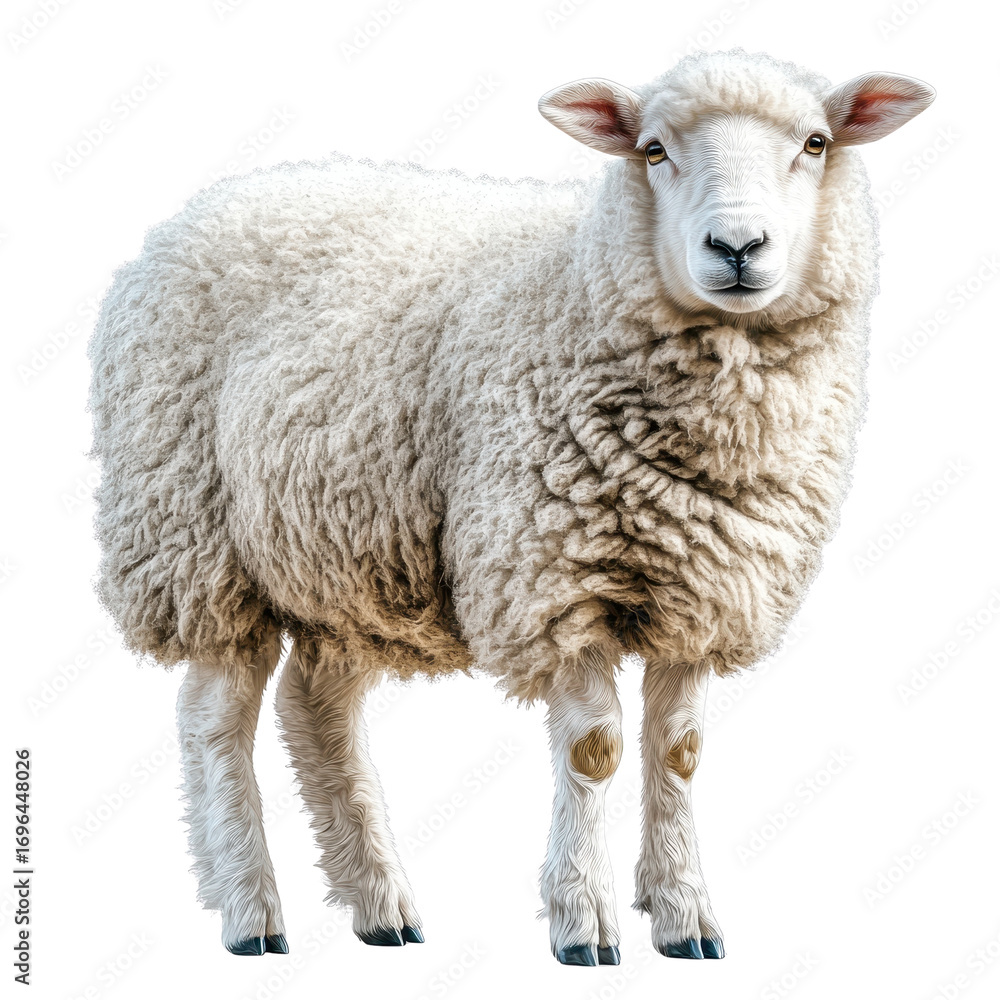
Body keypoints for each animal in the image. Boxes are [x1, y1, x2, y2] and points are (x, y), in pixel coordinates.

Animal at [87, 48, 935, 966]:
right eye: (653, 149)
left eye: (815, 143)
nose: (737, 246)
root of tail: (207, 205)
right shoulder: (554, 576)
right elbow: (596, 749)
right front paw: (585, 923)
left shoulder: (699, 587)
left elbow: (680, 753)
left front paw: (684, 917)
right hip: (194, 540)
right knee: (215, 719)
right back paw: (250, 910)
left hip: (345, 556)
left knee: (316, 712)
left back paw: (381, 905)